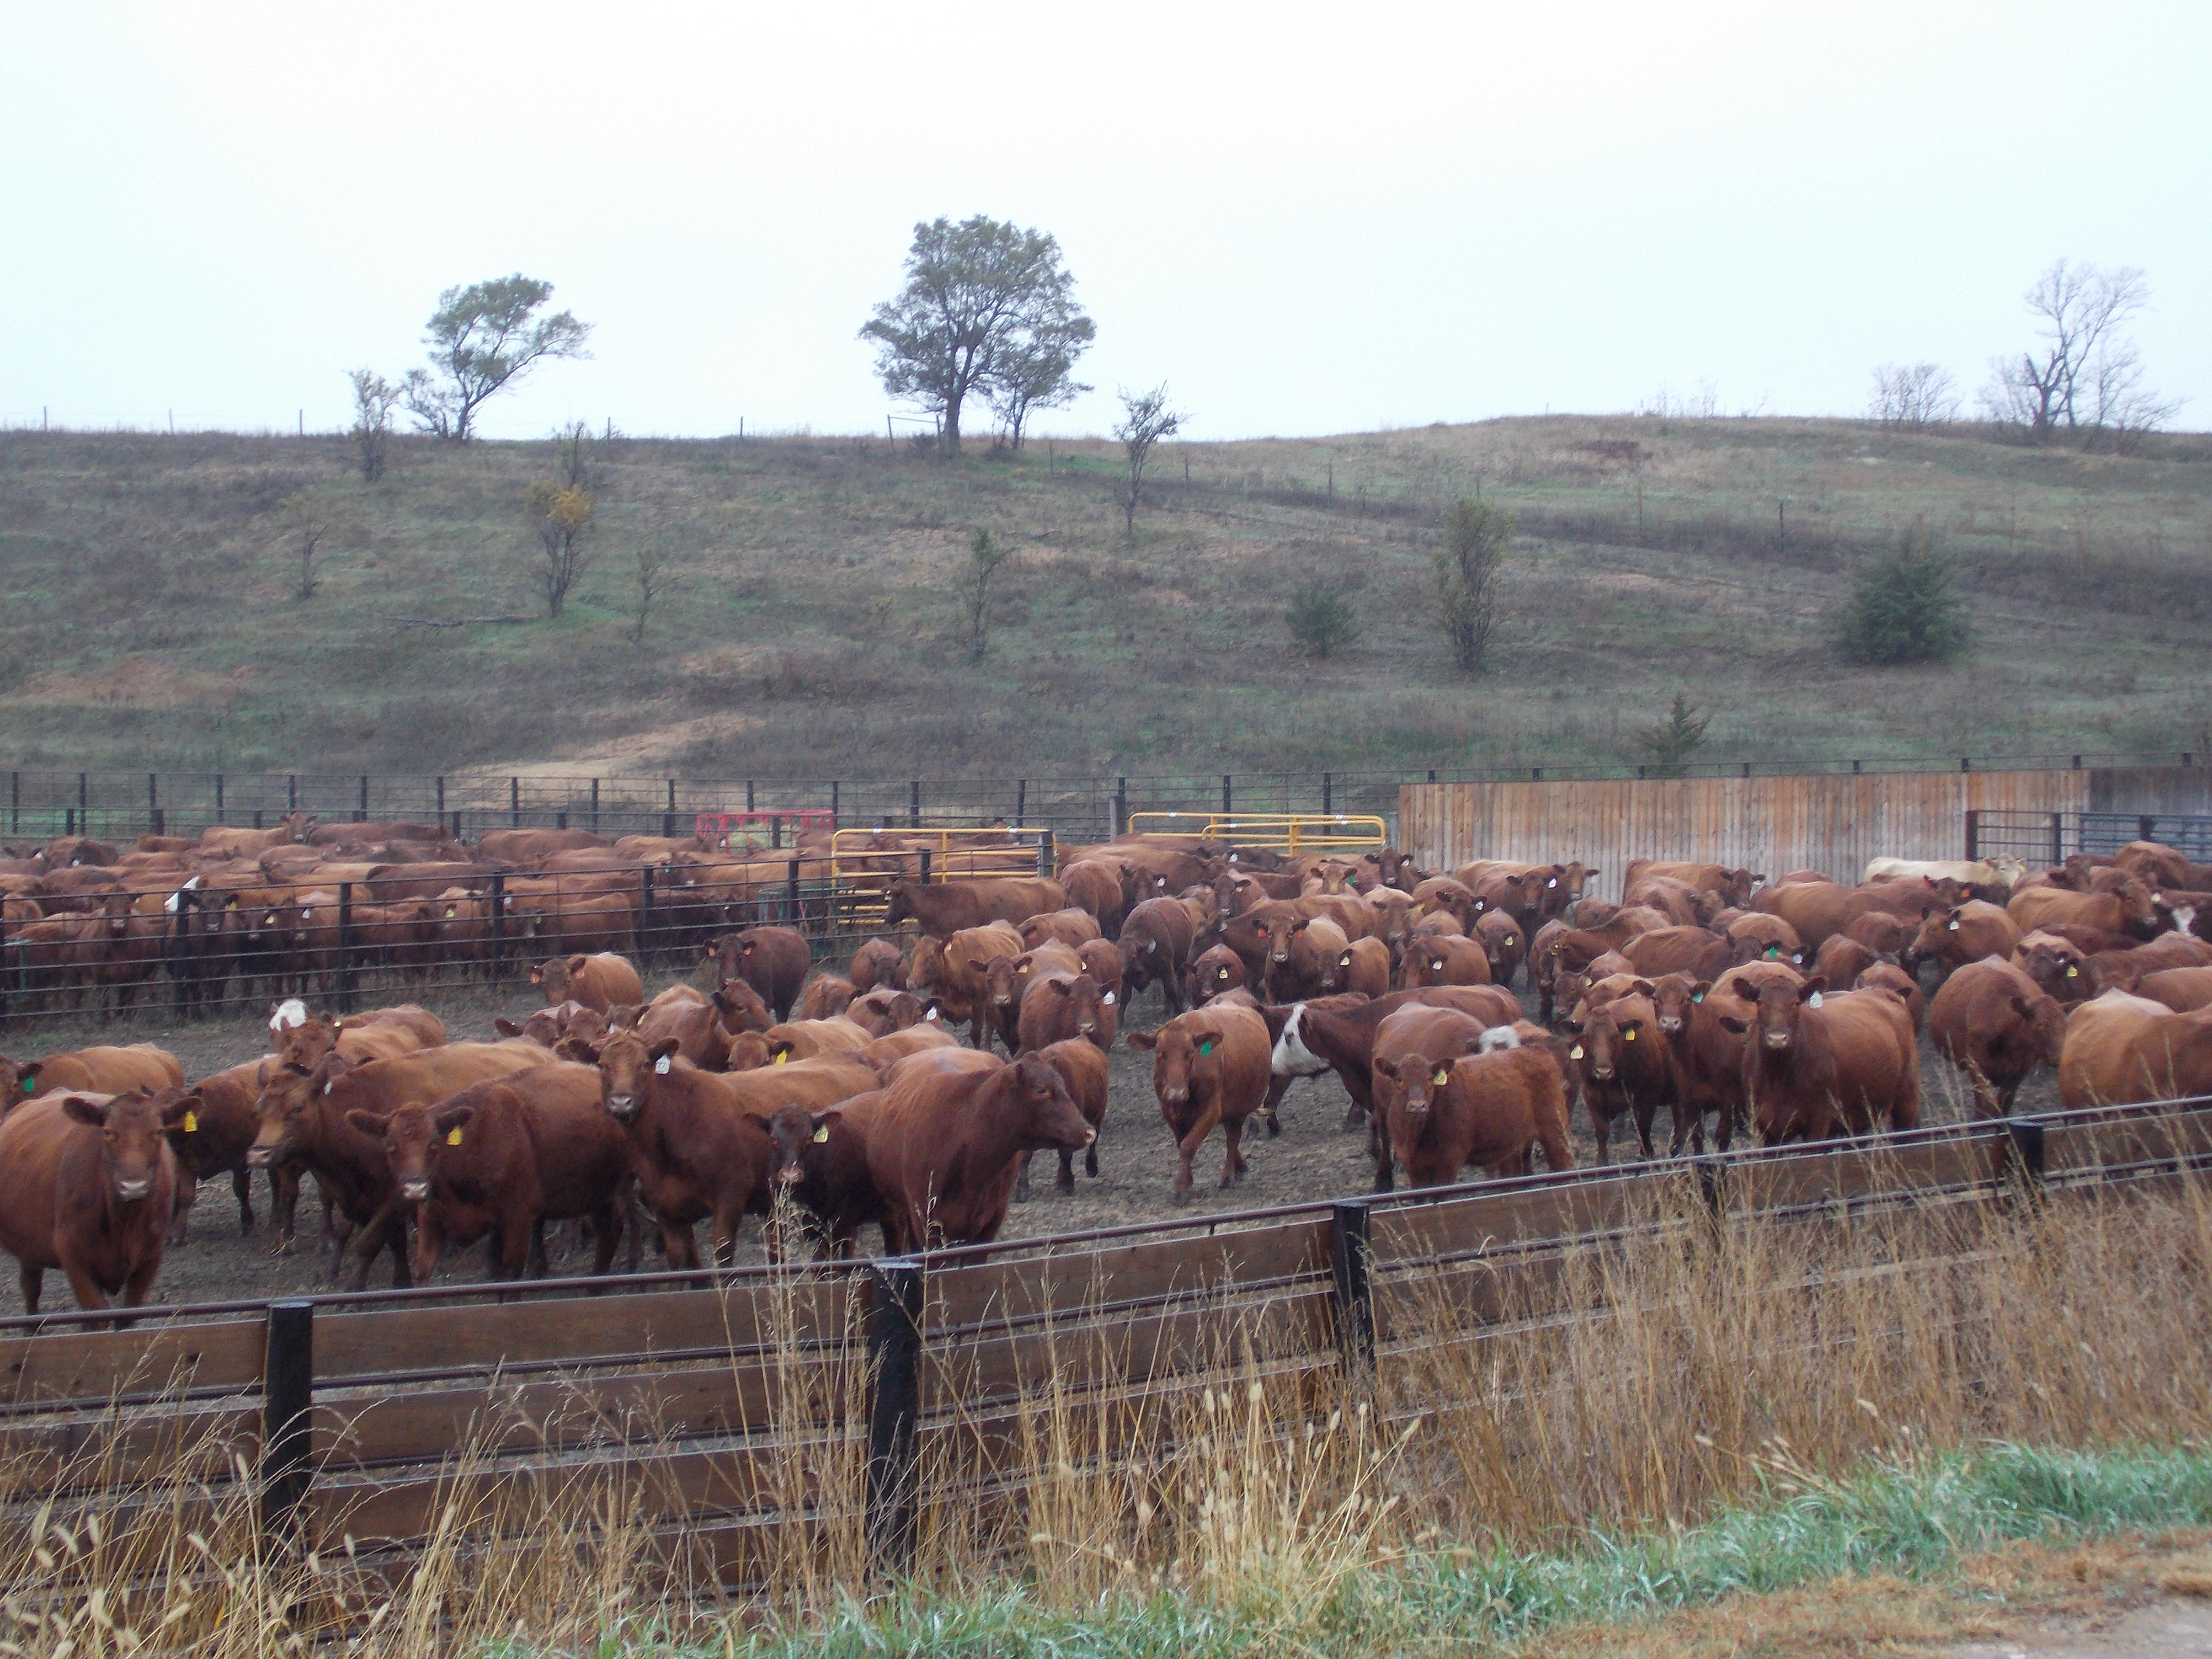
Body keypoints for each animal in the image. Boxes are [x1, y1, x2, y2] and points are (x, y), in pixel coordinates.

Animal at [0, 1089, 180, 1314]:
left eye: (158, 1132)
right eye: (108, 1132)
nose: (133, 1187)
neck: (123, 1223)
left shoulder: (150, 1259)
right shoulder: (73, 1257)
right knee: (31, 1289)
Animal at [1127, 1003, 1271, 1198]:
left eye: (1190, 1053)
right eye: (1160, 1053)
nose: (1176, 1093)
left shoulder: (1211, 1110)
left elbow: (1188, 1145)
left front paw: (1180, 1186)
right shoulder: (1169, 1111)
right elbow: (1182, 1143)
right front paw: (1187, 1180)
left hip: (1240, 1107)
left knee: (1233, 1138)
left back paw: (1227, 1176)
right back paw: (1240, 1166)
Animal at [1927, 958, 2066, 1119]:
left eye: (2065, 1023)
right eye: (2040, 1024)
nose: (2060, 1057)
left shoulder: (2016, 1075)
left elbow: (2002, 1107)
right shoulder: (1976, 1067)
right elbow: (1984, 1106)